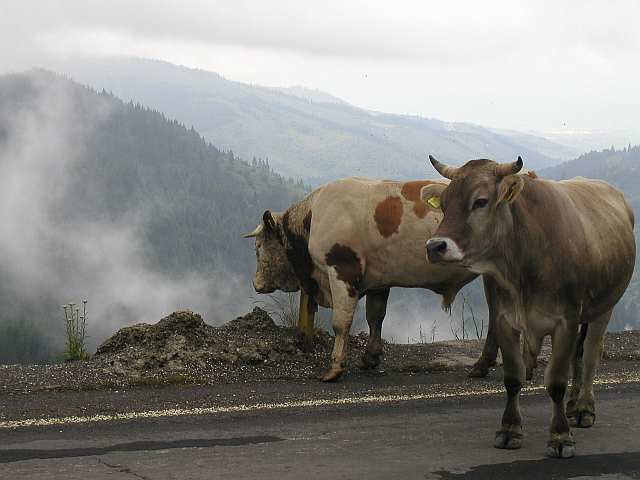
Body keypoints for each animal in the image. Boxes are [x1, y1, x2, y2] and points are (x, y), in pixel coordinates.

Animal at [244, 177, 499, 381]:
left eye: (258, 247)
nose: (256, 283)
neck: (314, 216)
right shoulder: (379, 280)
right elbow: (375, 317)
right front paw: (371, 357)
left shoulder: (342, 271)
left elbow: (341, 323)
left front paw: (335, 368)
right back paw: (482, 366)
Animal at [421, 155, 635, 458]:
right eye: (444, 203)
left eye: (481, 201)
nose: (435, 246)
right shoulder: (504, 318)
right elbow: (513, 377)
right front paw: (509, 429)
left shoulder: (565, 320)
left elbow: (555, 381)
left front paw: (560, 436)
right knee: (578, 354)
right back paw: (573, 405)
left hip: (605, 306)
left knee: (591, 353)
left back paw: (584, 408)